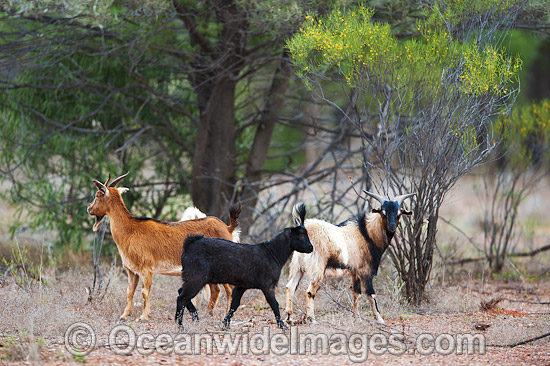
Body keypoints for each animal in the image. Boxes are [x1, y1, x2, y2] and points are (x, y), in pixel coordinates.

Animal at [87, 173, 240, 322]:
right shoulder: (132, 270)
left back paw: (226, 317)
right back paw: (208, 315)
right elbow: (129, 292)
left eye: (97, 195)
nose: (89, 209)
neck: (130, 230)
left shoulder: (146, 268)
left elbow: (145, 292)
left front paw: (143, 317)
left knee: (230, 289)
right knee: (216, 290)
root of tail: (227, 228)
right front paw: (124, 316)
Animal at [177, 203, 314, 328]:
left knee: (181, 293)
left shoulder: (242, 285)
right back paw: (181, 325)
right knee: (181, 297)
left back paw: (195, 317)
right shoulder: (267, 285)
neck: (273, 252)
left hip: (192, 277)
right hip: (196, 278)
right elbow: (274, 303)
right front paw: (282, 325)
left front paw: (226, 323)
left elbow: (235, 304)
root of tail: (188, 246)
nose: (311, 247)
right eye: (302, 235)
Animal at [286, 190, 416, 324]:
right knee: (309, 292)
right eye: (383, 213)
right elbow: (371, 295)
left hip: (297, 267)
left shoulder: (355, 272)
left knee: (290, 287)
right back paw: (312, 320)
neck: (366, 234)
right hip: (317, 270)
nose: (392, 227)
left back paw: (289, 317)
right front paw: (380, 320)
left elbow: (356, 294)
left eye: (399, 213)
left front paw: (356, 316)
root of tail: (305, 229)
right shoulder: (366, 272)